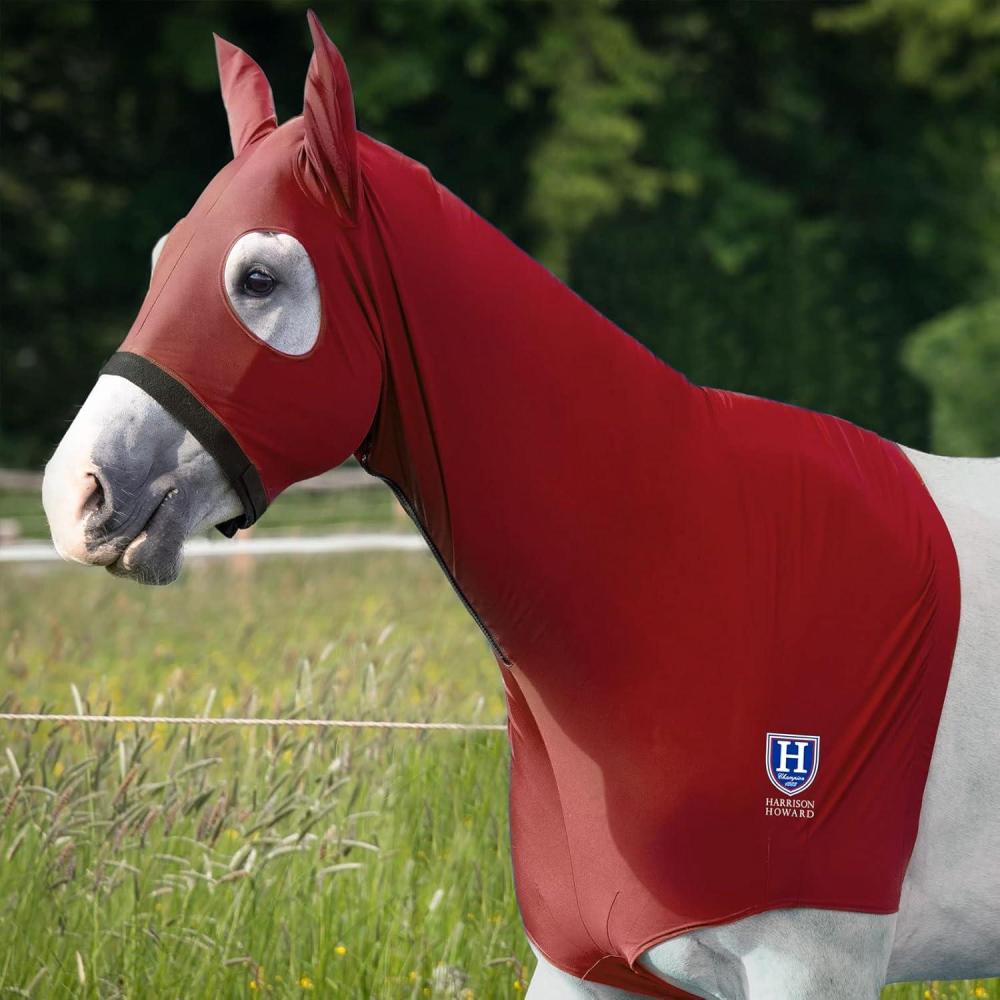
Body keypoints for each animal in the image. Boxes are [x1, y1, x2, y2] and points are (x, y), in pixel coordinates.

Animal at [41, 14, 999, 998]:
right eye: (161, 259)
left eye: (259, 278)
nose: (75, 493)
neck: (691, 570)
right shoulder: (585, 961)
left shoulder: (811, 965)